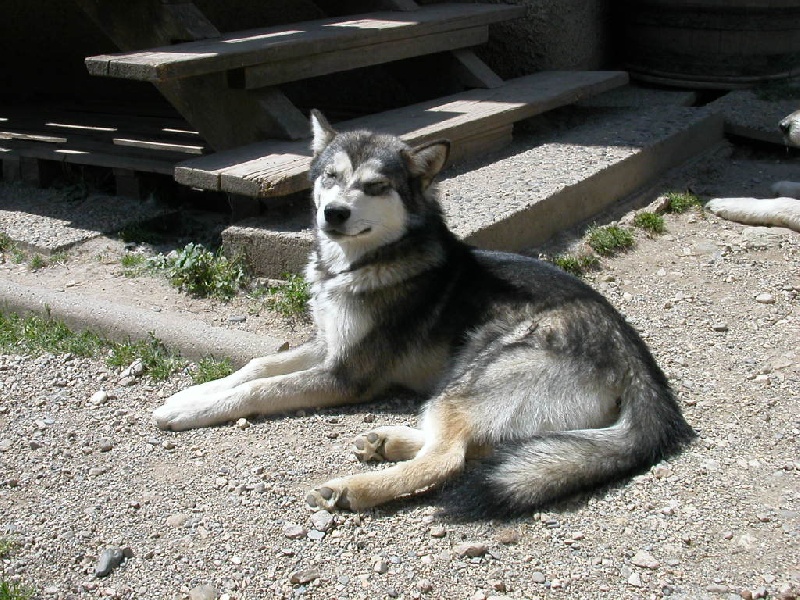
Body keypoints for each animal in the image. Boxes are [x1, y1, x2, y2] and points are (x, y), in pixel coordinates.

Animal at [153, 111, 695, 517]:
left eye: (375, 186)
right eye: (330, 176)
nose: (333, 214)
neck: (366, 262)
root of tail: (640, 366)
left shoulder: (346, 374)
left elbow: (262, 389)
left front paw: (190, 411)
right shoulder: (329, 346)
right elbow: (257, 365)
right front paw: (192, 394)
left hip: (471, 377)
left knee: (449, 458)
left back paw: (354, 488)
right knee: (484, 446)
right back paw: (385, 443)